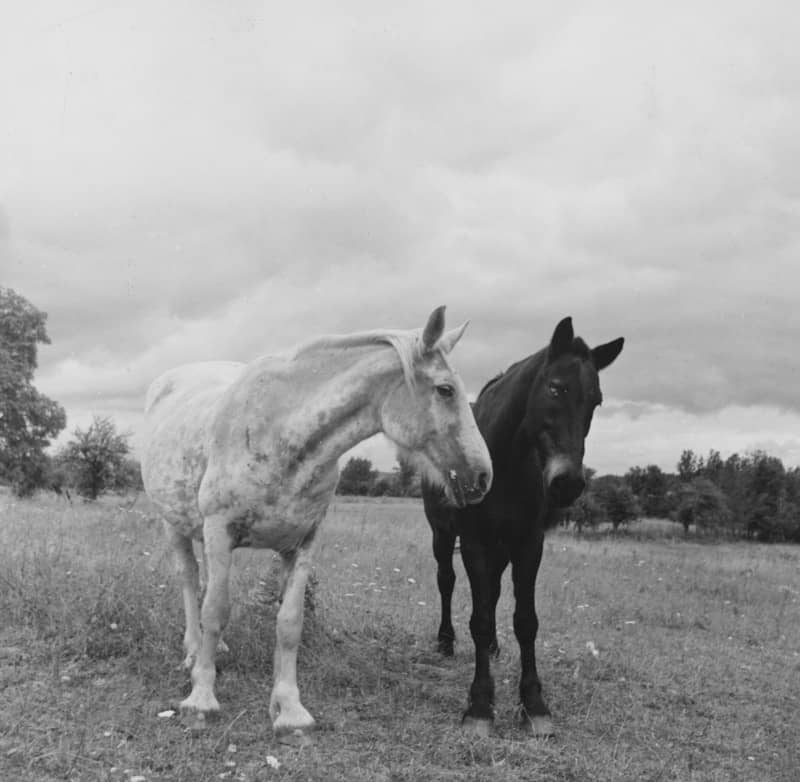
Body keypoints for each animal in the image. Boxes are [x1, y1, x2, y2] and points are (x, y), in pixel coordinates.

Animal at [141, 306, 492, 743]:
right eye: (445, 390)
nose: (483, 477)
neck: (280, 433)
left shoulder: (302, 543)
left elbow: (290, 623)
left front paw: (290, 710)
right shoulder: (219, 531)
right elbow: (215, 610)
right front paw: (202, 698)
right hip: (175, 526)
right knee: (191, 583)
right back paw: (192, 651)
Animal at [422, 316, 623, 737]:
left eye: (596, 400)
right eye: (555, 388)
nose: (568, 483)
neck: (504, 462)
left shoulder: (529, 542)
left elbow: (525, 620)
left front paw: (534, 704)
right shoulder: (475, 541)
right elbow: (480, 618)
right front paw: (480, 706)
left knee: (494, 592)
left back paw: (493, 649)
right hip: (442, 535)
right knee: (446, 582)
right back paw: (446, 641)